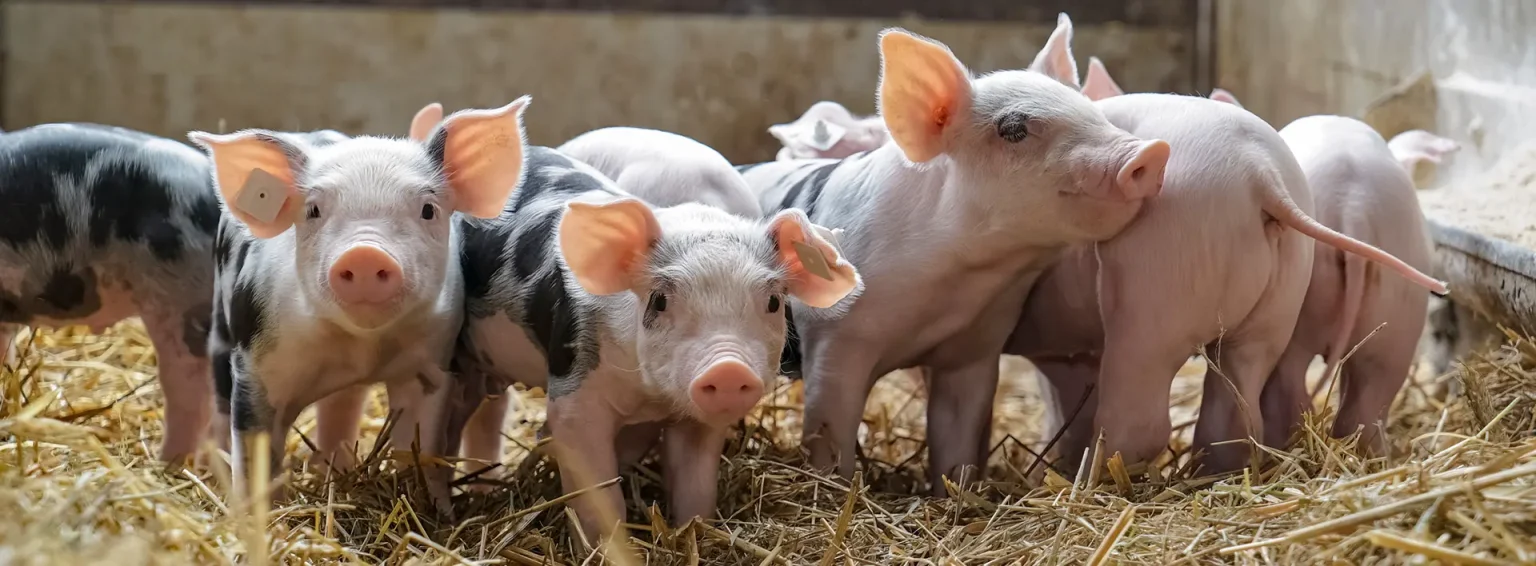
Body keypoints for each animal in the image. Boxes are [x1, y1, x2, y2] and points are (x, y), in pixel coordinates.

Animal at [195, 99, 529, 512]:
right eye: (313, 211)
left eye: (428, 209)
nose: (365, 253)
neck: (363, 349)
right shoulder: (257, 367)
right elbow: (256, 453)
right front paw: (259, 515)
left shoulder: (431, 368)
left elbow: (422, 448)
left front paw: (435, 511)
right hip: (221, 330)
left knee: (341, 406)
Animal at [449, 126, 858, 539]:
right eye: (659, 301)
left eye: (774, 302)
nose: (728, 368)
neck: (650, 397)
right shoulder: (574, 392)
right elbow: (597, 491)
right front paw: (611, 544)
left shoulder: (697, 420)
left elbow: (695, 487)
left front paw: (693, 533)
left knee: (490, 413)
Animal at [736, 16, 1173, 492]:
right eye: (1014, 128)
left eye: (1090, 110)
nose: (1152, 151)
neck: (955, 284)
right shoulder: (833, 338)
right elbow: (830, 428)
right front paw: (834, 486)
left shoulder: (975, 348)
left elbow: (957, 434)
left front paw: (956, 493)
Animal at [1010, 56, 1447, 474]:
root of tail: (1259, 170)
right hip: (1365, 311)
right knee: (1340, 402)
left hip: (1157, 287)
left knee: (1142, 415)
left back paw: (1093, 479)